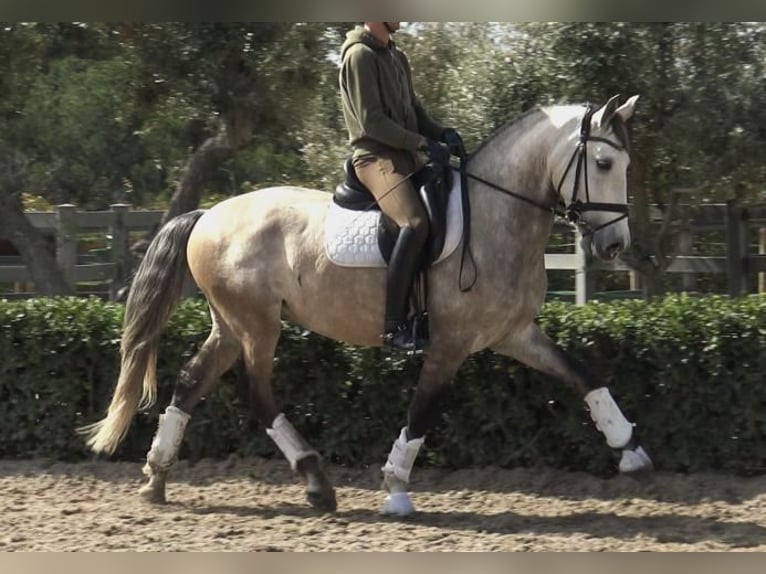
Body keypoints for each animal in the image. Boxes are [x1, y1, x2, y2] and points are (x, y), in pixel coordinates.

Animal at [79, 93, 656, 516]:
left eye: (627, 163)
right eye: (604, 162)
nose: (614, 246)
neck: (496, 215)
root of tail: (208, 215)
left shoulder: (515, 334)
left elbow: (585, 376)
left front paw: (632, 451)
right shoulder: (449, 345)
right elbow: (421, 412)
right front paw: (396, 487)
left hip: (230, 325)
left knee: (190, 383)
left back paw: (157, 477)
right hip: (256, 326)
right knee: (256, 392)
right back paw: (314, 480)